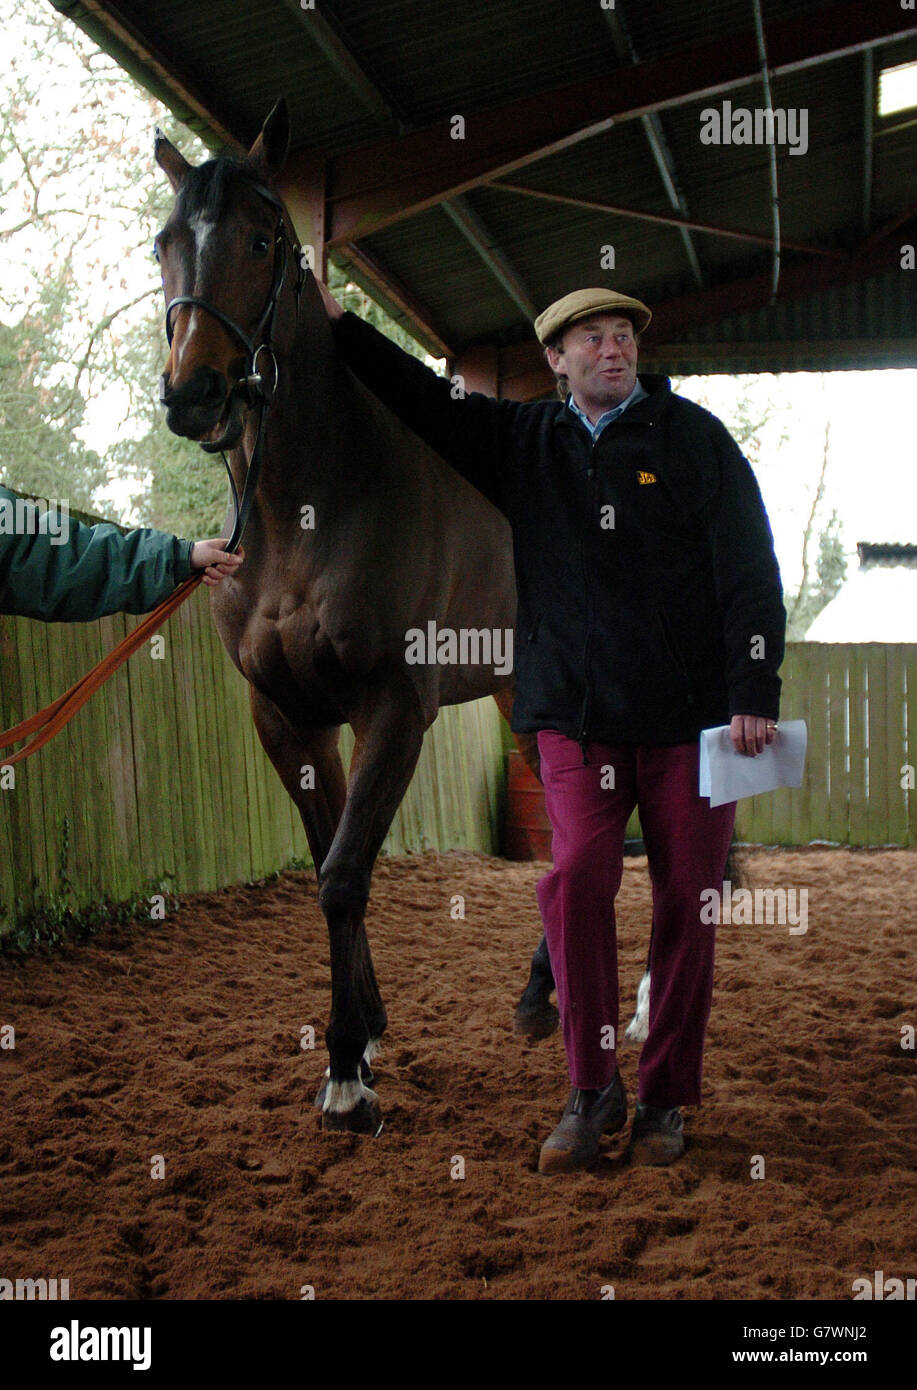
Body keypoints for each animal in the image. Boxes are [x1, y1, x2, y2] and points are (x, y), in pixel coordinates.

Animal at [152, 102, 561, 1134]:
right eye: (166, 243)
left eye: (263, 239)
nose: (193, 394)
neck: (308, 505)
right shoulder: (289, 718)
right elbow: (326, 860)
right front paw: (366, 1033)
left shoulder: (393, 710)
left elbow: (343, 874)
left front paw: (344, 1073)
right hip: (517, 698)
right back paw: (542, 994)